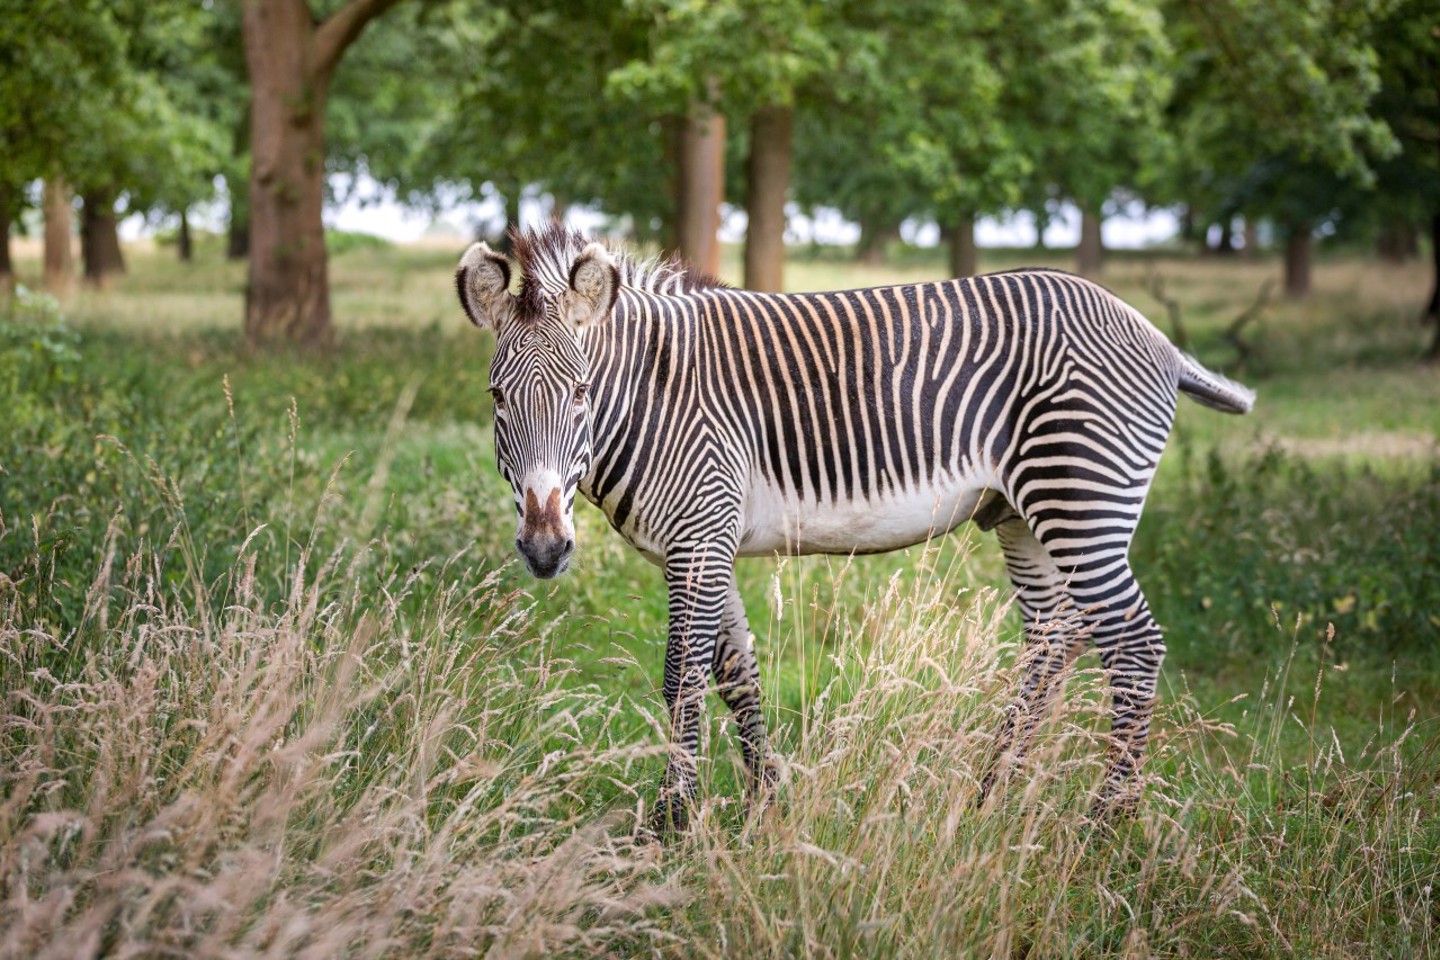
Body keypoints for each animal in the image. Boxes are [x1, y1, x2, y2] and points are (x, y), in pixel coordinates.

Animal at [455, 223, 1255, 834]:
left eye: (581, 393)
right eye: (496, 398)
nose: (545, 548)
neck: (651, 396)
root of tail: (1154, 335)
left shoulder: (700, 534)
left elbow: (682, 679)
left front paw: (669, 827)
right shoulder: (707, 541)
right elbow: (737, 674)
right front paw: (768, 806)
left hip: (1081, 497)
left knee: (1134, 644)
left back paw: (1104, 823)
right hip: (1025, 518)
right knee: (1053, 643)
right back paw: (992, 797)